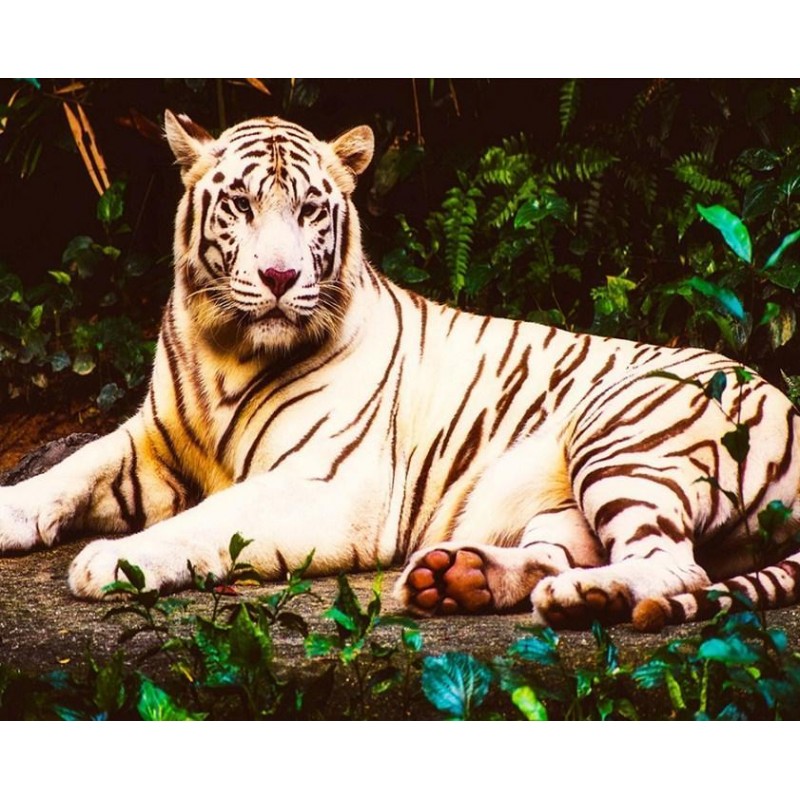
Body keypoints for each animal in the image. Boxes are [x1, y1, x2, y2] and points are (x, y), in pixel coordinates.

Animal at [2, 110, 800, 634]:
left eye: (310, 209)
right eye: (241, 204)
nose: (281, 276)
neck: (225, 349)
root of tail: (785, 400)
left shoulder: (325, 484)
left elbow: (209, 519)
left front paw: (113, 562)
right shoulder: (153, 439)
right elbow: (72, 466)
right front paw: (16, 510)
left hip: (623, 436)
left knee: (677, 565)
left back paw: (590, 599)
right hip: (563, 501)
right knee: (555, 555)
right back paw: (462, 581)